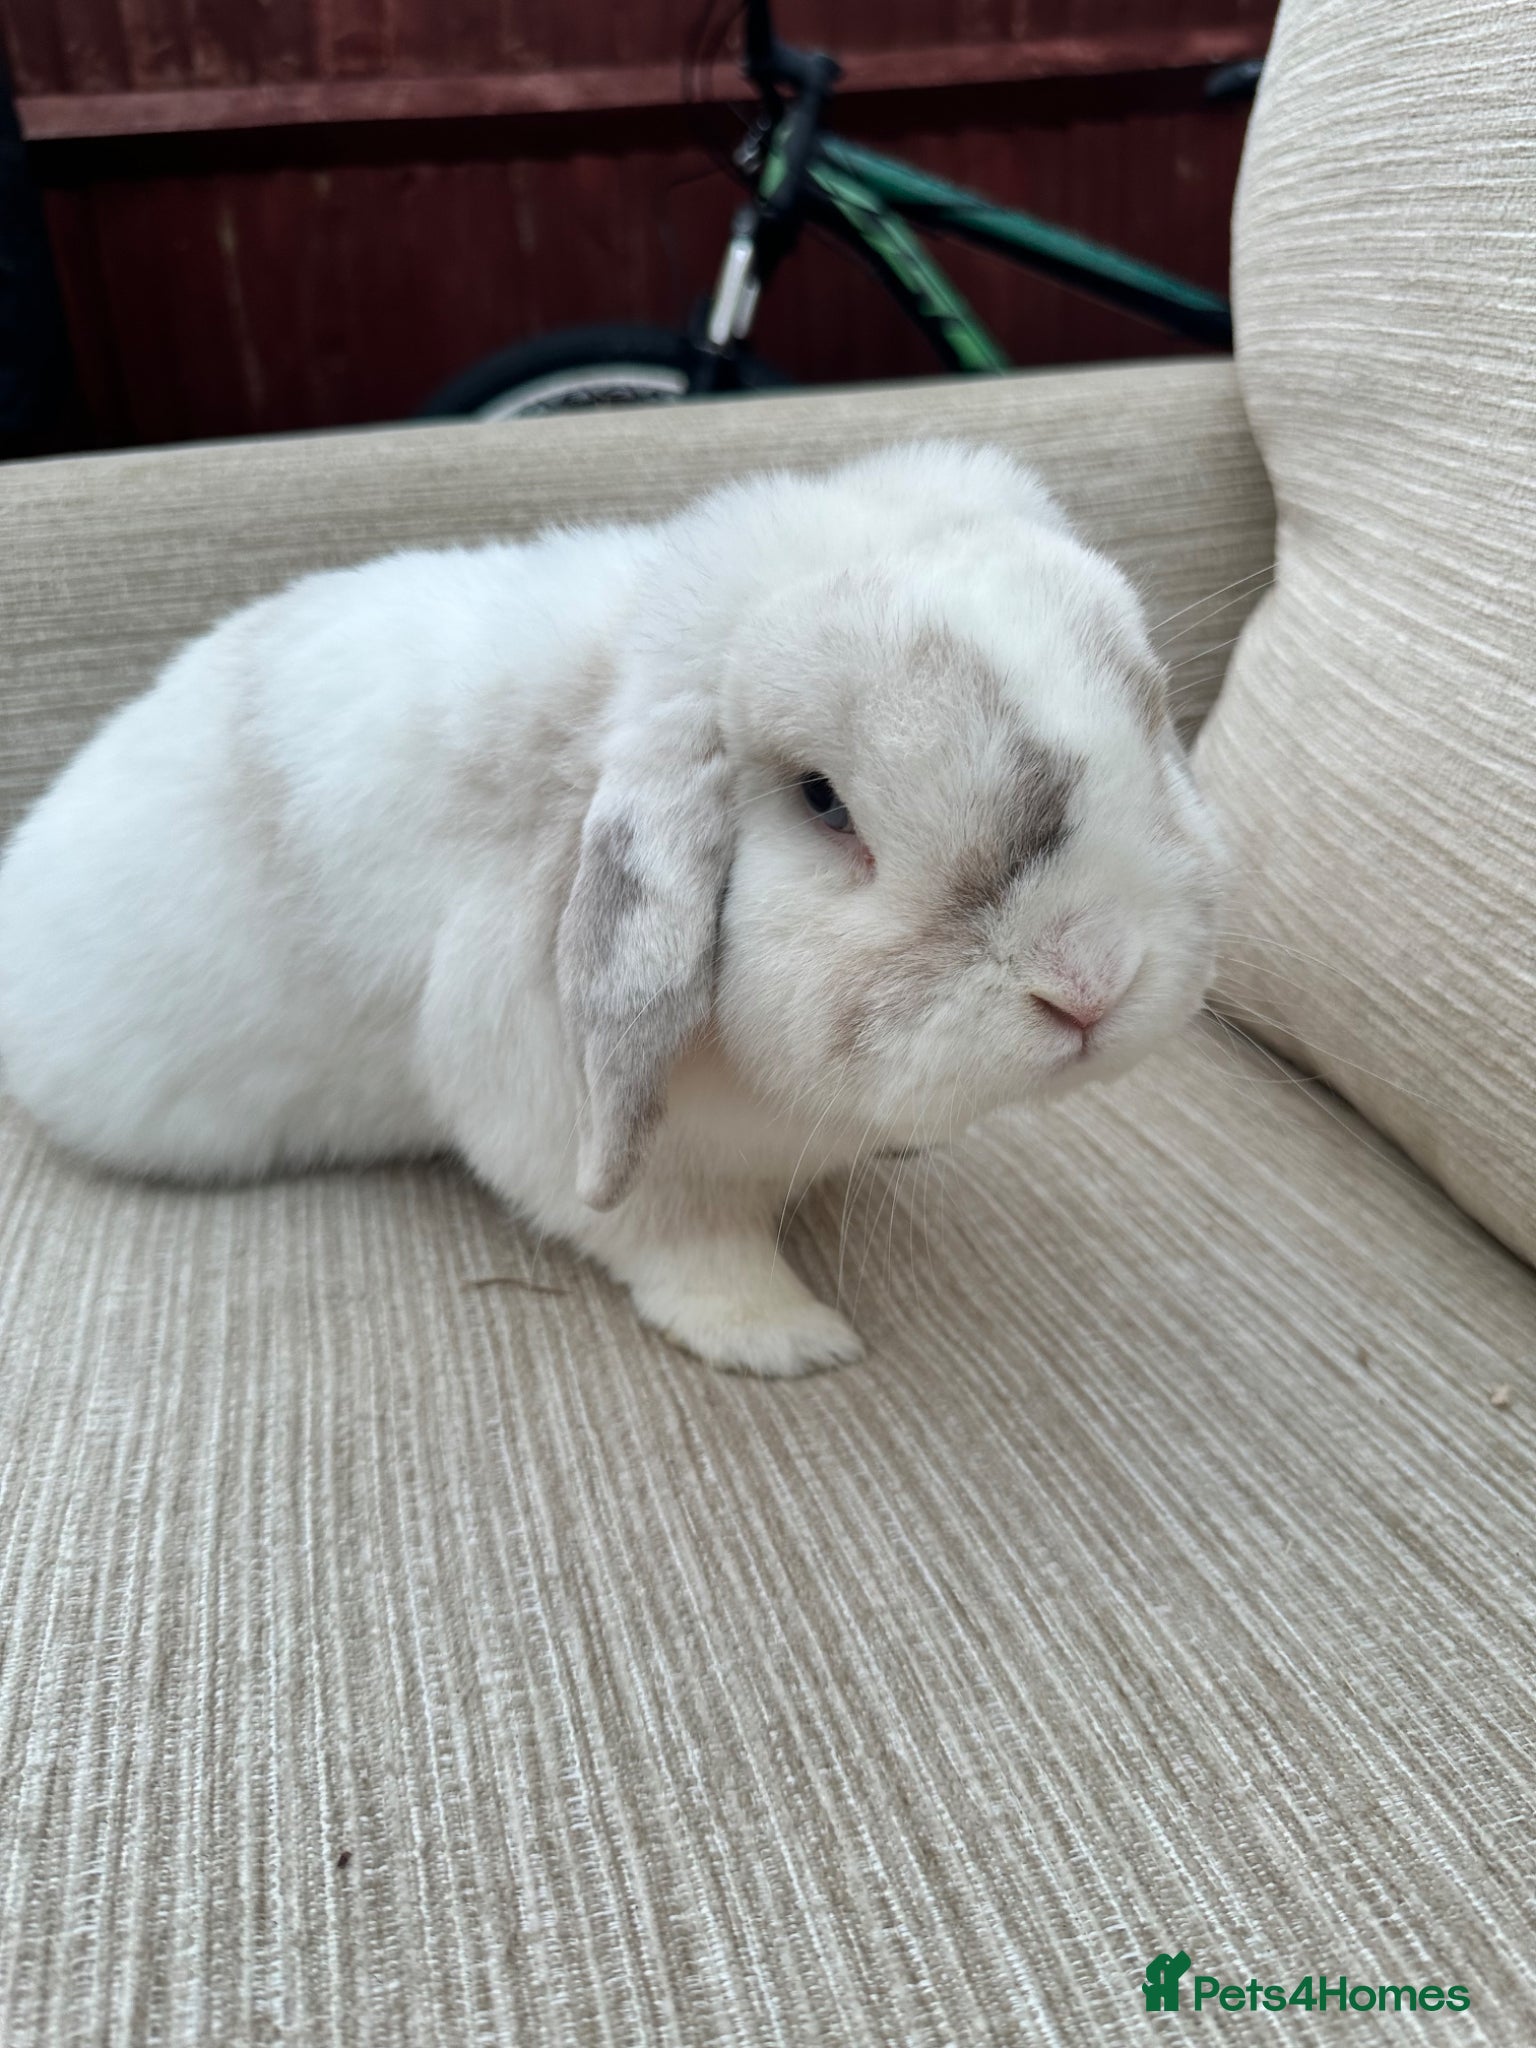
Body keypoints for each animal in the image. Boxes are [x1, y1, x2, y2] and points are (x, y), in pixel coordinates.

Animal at [0, 441, 1223, 1375]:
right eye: (823, 801)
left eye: (1150, 714)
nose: (1090, 981)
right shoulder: (570, 1126)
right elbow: (684, 1240)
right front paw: (786, 1339)